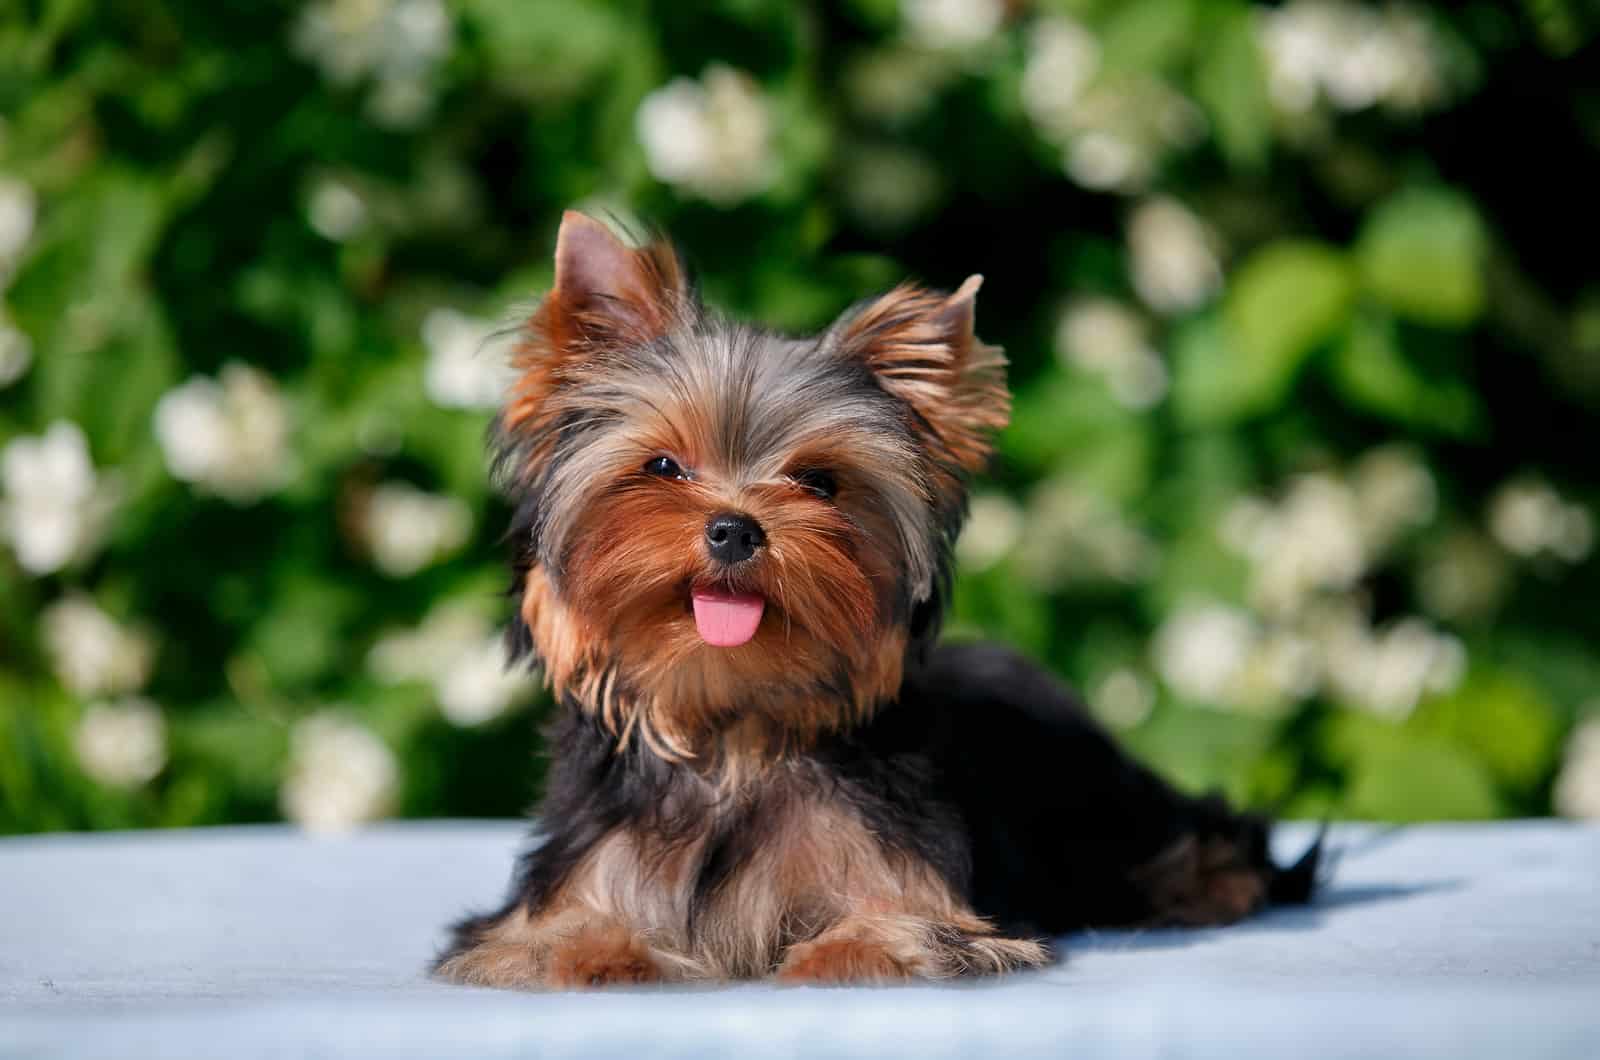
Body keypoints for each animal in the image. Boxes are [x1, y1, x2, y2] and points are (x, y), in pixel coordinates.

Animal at [432, 211, 1318, 992]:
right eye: (662, 467)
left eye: (820, 482)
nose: (734, 529)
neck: (733, 732)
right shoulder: (572, 878)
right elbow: (547, 939)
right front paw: (596, 954)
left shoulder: (922, 889)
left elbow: (905, 929)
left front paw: (845, 952)